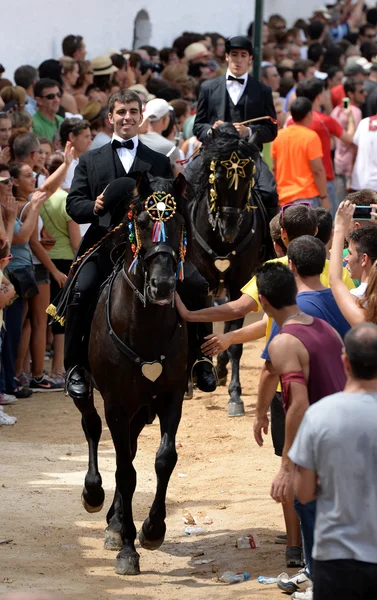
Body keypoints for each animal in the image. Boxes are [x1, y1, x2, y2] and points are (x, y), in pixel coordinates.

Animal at [74, 173, 189, 576]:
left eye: (180, 222)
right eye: (140, 222)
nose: (163, 285)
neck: (144, 324)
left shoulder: (170, 396)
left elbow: (163, 459)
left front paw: (153, 529)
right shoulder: (116, 403)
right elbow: (125, 472)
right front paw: (127, 549)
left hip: (141, 406)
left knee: (134, 446)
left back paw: (116, 519)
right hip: (99, 395)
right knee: (92, 426)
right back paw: (95, 495)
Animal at [187, 124, 274, 414]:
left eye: (248, 180)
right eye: (217, 177)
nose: (230, 229)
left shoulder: (239, 282)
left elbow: (235, 337)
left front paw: (235, 395)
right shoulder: (198, 280)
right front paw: (191, 381)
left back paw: (222, 368)